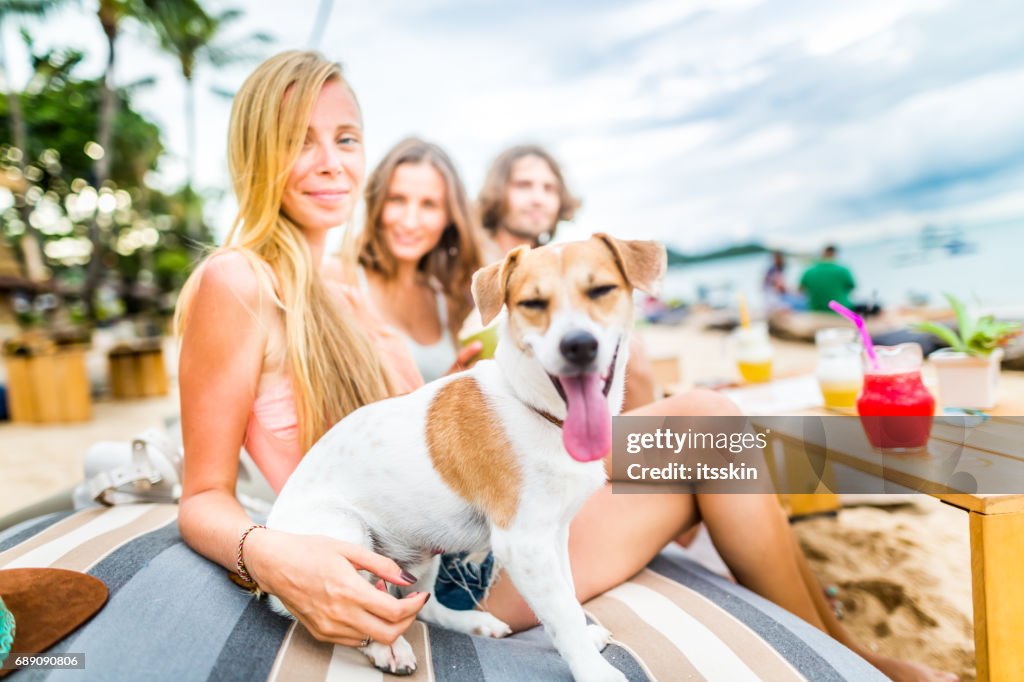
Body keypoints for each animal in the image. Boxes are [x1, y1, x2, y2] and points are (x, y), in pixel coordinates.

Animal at [266, 231, 663, 675]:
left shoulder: (556, 533)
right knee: (341, 616)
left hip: (424, 555)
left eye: (601, 290)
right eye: (532, 303)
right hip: (345, 535)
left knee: (421, 607)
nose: (579, 345)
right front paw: (594, 671)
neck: (537, 409)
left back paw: (472, 622)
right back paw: (386, 647)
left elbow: (569, 598)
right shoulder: (523, 544)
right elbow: (561, 614)